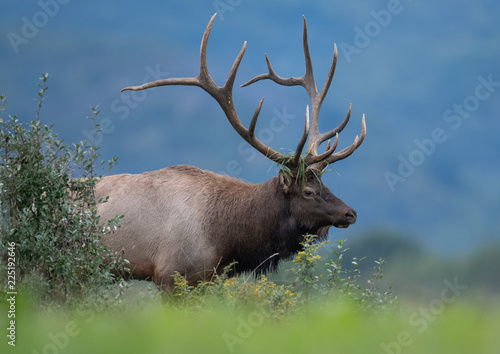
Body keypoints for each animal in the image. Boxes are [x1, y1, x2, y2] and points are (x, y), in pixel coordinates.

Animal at [96, 13, 368, 290]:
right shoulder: (171, 275)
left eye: (325, 184)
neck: (225, 241)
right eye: (308, 191)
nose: (351, 213)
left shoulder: (206, 279)